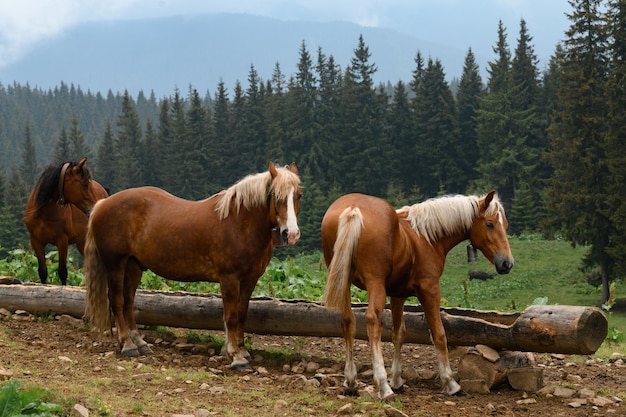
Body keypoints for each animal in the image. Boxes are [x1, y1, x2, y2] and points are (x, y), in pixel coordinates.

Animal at [84, 162, 302, 368]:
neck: (239, 223)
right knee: (117, 301)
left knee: (129, 302)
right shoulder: (229, 279)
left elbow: (242, 315)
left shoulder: (250, 280)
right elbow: (231, 317)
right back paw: (127, 345)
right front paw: (236, 356)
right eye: (276, 195)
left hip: (133, 266)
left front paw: (243, 351)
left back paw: (139, 342)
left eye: (298, 195)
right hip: (115, 265)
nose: (291, 234)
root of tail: (102, 204)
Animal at [322, 191, 512, 400]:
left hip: (344, 281)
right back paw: (382, 386)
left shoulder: (397, 295)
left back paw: (351, 381)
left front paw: (397, 380)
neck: (425, 236)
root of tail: (353, 209)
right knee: (372, 320)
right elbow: (439, 334)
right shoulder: (430, 290)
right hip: (375, 283)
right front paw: (450, 383)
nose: (507, 263)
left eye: (505, 225)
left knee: (348, 321)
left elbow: (399, 334)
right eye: (490, 224)